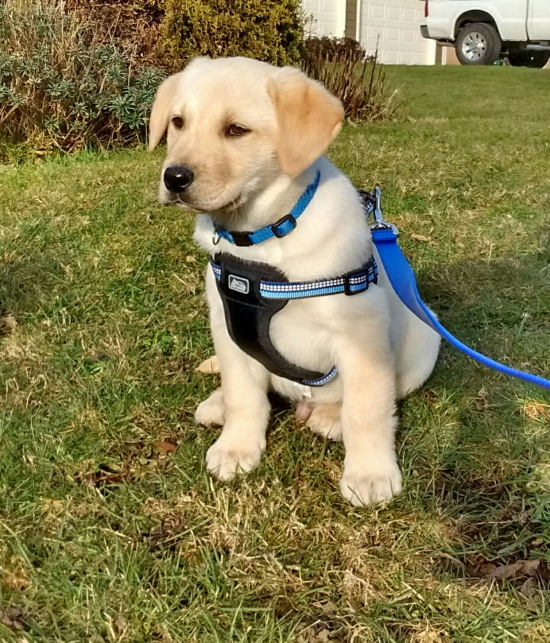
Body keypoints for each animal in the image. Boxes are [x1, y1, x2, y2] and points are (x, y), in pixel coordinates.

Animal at [149, 57, 442, 506]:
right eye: (178, 122)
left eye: (236, 130)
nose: (174, 177)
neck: (265, 238)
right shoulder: (229, 326)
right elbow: (244, 395)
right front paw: (236, 447)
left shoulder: (362, 335)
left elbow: (368, 409)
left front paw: (371, 474)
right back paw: (218, 405)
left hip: (425, 340)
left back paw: (329, 416)